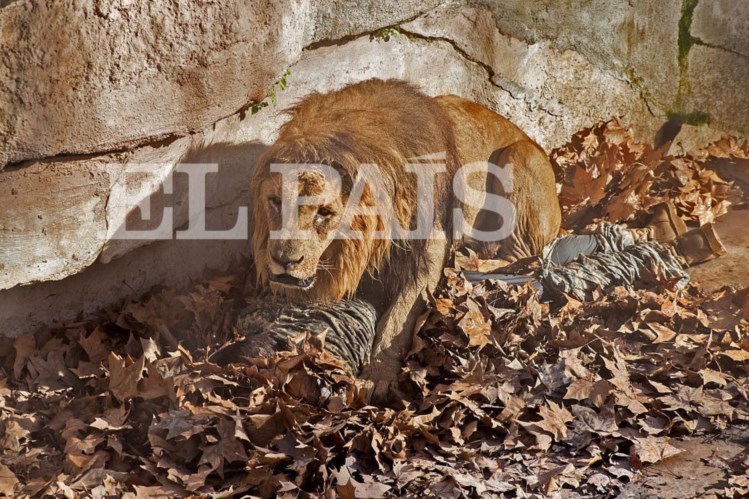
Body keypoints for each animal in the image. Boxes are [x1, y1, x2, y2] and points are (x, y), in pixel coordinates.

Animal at [251, 79, 561, 400]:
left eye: (324, 212)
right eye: (276, 202)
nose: (283, 261)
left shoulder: (430, 246)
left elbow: (399, 316)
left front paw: (377, 376)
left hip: (519, 157)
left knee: (522, 257)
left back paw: (467, 262)